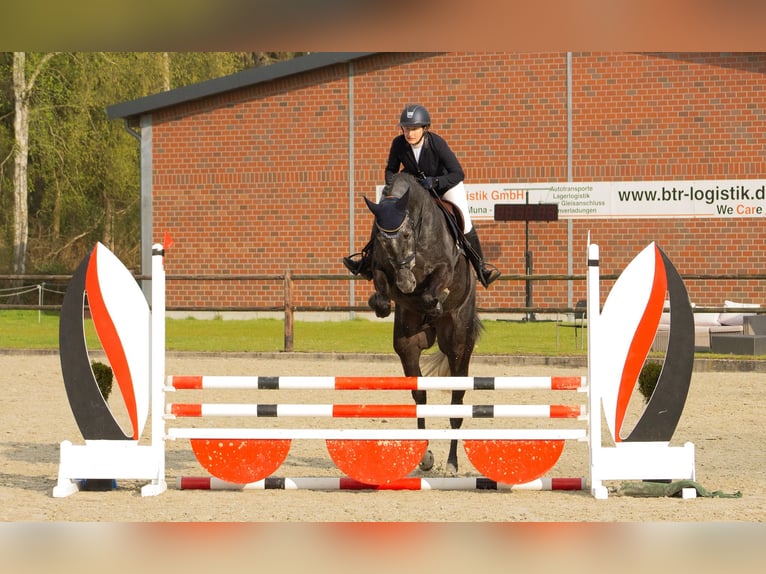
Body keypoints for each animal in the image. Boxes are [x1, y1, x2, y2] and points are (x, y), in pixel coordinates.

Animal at [364, 172, 484, 476]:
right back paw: (424, 456)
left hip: (458, 345)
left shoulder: (445, 266)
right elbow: (381, 290)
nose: (406, 284)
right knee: (420, 396)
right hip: (408, 344)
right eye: (380, 240)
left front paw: (435, 301)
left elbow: (436, 285)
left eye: (406, 235)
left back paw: (452, 463)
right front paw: (383, 304)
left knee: (457, 402)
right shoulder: (381, 267)